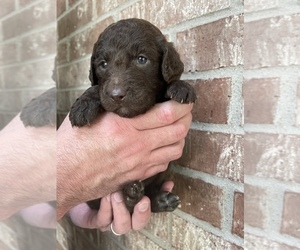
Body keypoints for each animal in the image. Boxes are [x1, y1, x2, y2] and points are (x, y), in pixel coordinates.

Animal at [69, 18, 197, 213]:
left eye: (141, 59)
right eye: (103, 64)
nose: (116, 95)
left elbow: (170, 82)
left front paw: (181, 86)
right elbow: (96, 87)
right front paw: (82, 106)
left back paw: (158, 200)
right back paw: (132, 194)